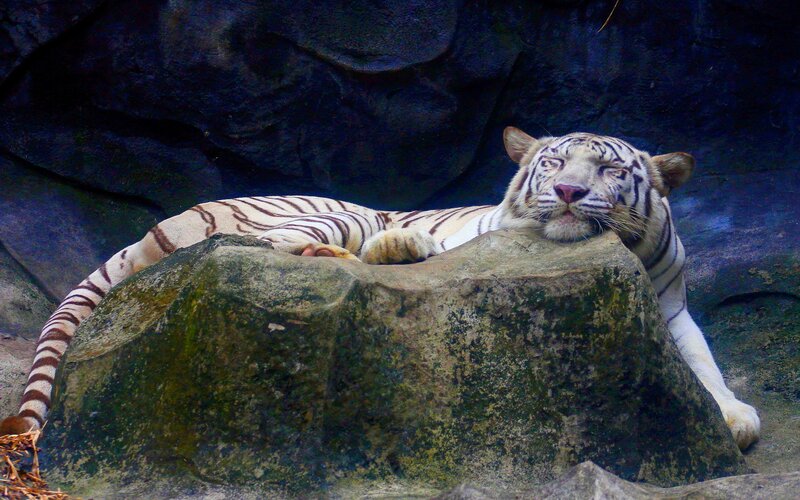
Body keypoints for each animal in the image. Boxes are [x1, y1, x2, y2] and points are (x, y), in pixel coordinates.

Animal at [0, 127, 760, 450]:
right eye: (552, 165)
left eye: (606, 170)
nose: (570, 193)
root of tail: (162, 222)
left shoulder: (670, 304)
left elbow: (702, 361)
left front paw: (733, 417)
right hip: (322, 212)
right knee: (267, 247)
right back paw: (385, 248)